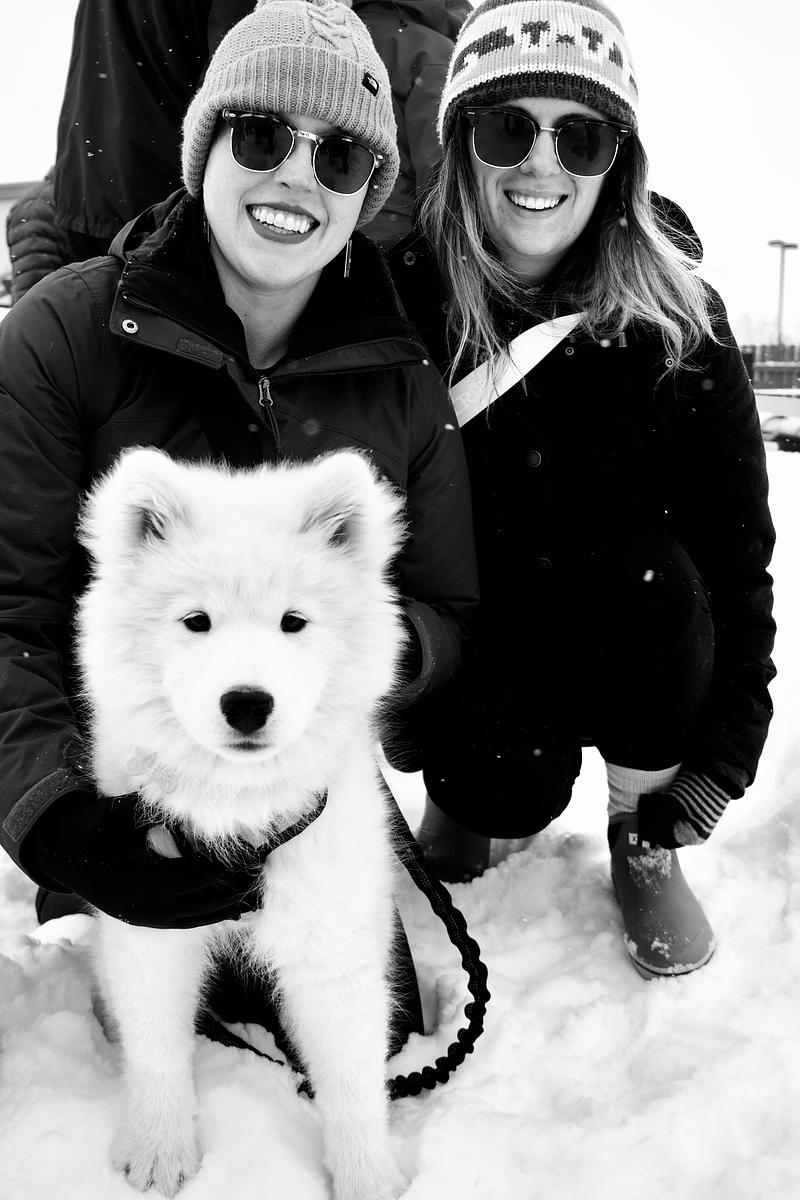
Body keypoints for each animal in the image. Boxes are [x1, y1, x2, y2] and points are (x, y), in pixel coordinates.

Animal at [75, 447, 409, 1200]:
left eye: (294, 622)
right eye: (196, 621)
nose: (248, 703)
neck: (238, 812)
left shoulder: (330, 932)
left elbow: (352, 1074)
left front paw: (368, 1177)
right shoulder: (147, 910)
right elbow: (156, 1044)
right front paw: (160, 1152)